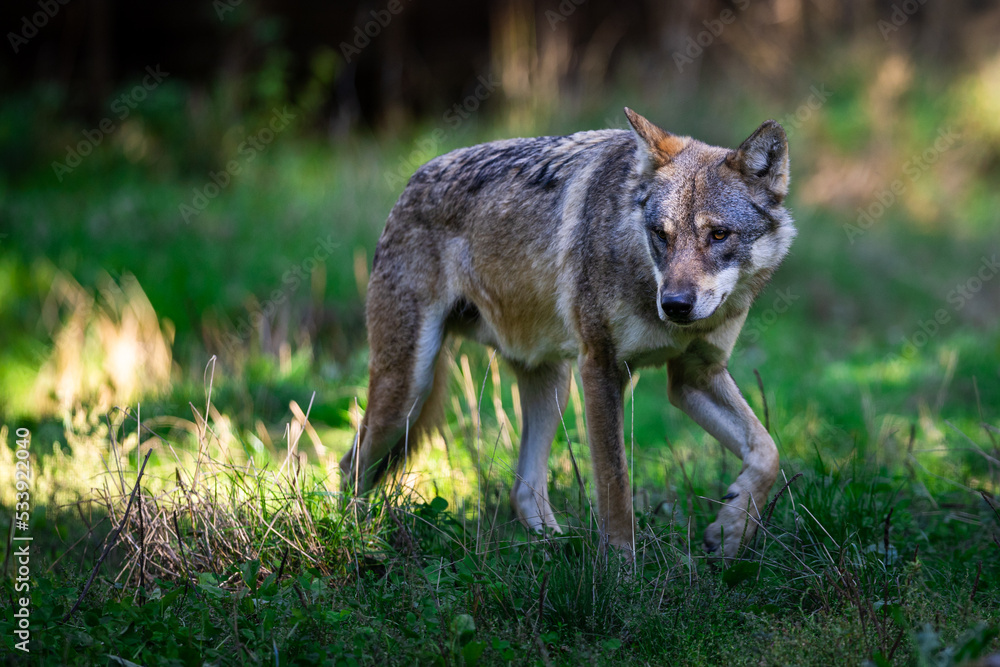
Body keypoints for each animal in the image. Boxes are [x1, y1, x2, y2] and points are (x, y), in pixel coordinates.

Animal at [344, 107, 796, 560]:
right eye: (661, 235)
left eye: (718, 234)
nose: (674, 305)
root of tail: (413, 179)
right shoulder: (601, 367)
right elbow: (615, 486)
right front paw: (621, 567)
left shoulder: (693, 377)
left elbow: (768, 452)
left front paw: (731, 531)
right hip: (407, 392)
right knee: (349, 468)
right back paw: (356, 542)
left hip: (552, 389)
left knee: (522, 490)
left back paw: (554, 548)